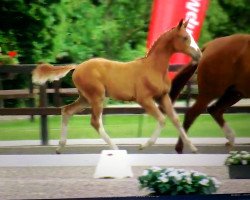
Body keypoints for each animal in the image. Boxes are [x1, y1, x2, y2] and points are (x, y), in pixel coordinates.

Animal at [32, 19, 201, 153]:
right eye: (185, 37)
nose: (199, 55)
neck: (153, 68)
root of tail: (77, 67)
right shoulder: (144, 99)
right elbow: (162, 119)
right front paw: (144, 145)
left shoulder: (163, 97)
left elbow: (175, 119)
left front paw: (193, 148)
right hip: (97, 97)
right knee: (95, 121)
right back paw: (115, 148)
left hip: (85, 98)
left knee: (67, 111)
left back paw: (60, 147)